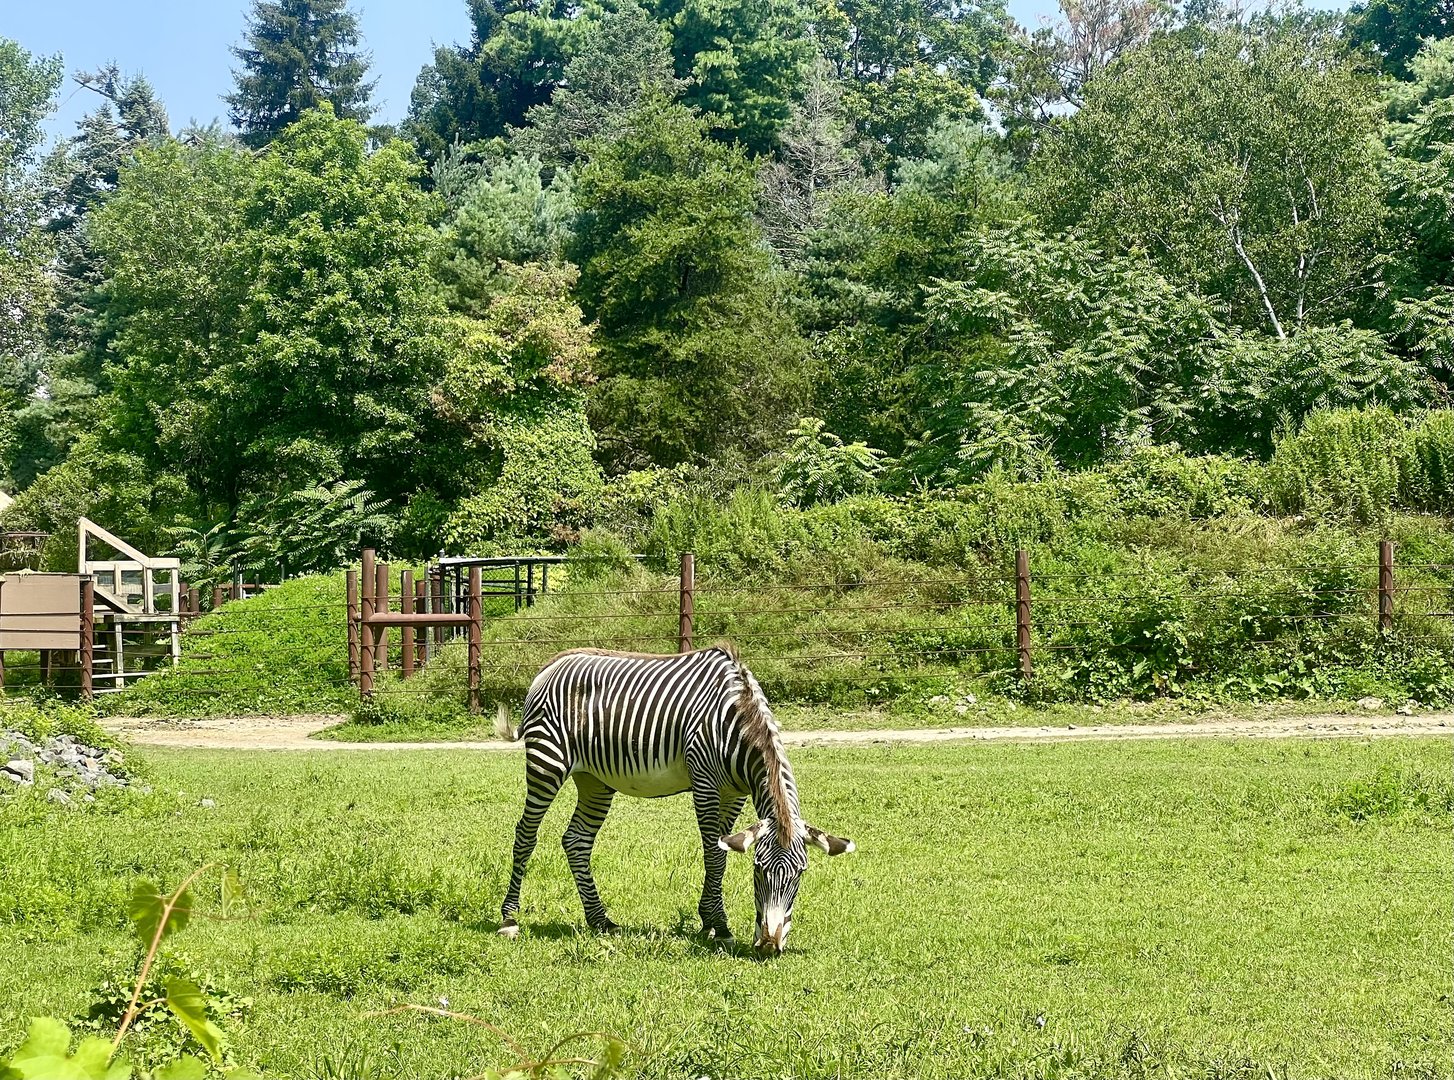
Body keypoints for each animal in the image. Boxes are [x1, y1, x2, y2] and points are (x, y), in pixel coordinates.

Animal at [494, 643, 853, 953]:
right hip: (547, 761)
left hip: (595, 779)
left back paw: (600, 920)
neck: (736, 722)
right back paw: (509, 919)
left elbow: (721, 853)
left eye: (801, 874)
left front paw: (708, 921)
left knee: (577, 840)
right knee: (526, 833)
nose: (768, 944)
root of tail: (552, 664)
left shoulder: (733, 794)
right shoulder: (705, 784)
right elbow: (714, 854)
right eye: (758, 870)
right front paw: (720, 925)